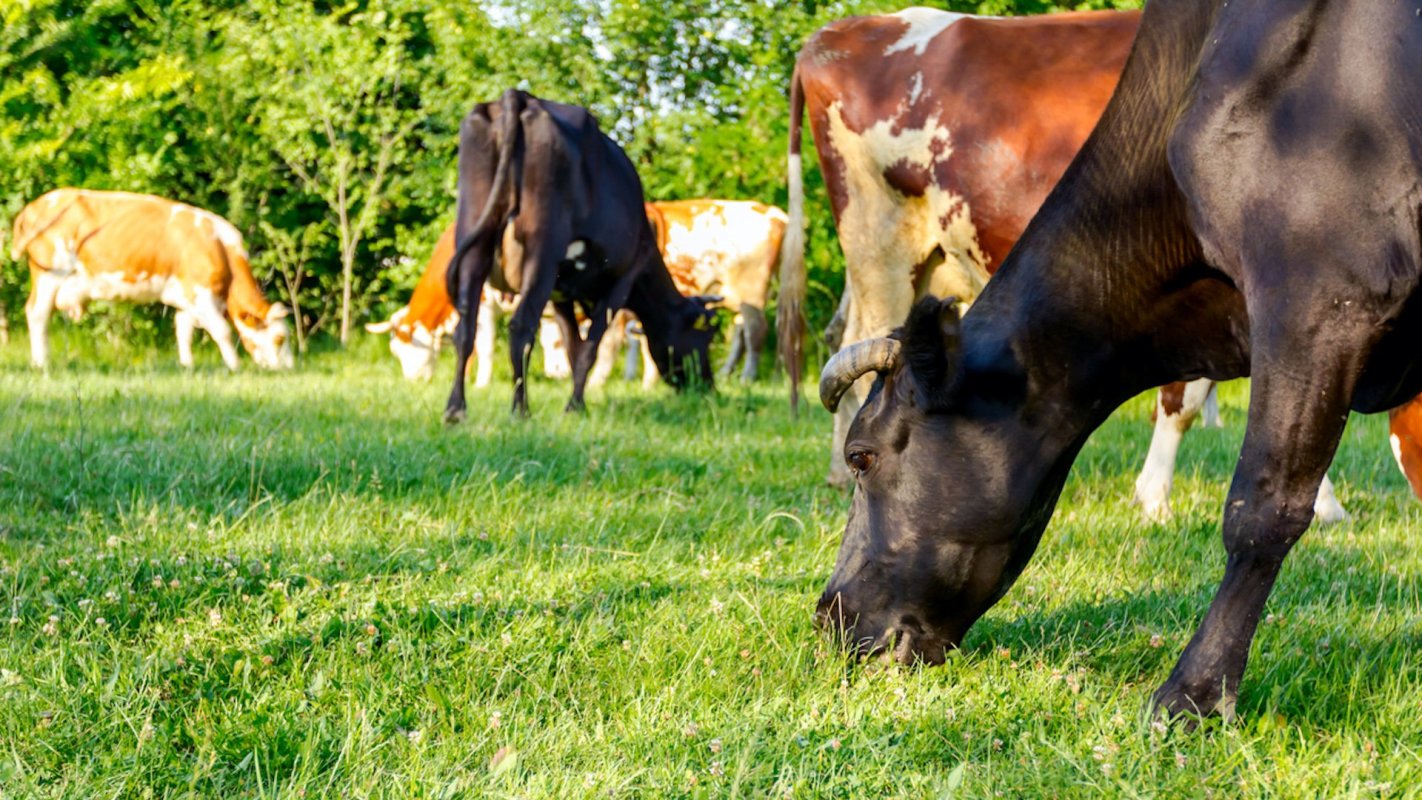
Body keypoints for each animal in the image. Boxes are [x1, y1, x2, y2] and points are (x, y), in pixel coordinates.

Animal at [10, 188, 294, 372]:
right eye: (280, 338)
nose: (289, 367)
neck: (220, 248)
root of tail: (34, 206)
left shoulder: (186, 296)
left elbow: (183, 329)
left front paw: (187, 365)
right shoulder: (200, 292)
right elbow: (222, 330)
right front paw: (235, 366)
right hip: (49, 273)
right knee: (37, 313)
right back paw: (41, 362)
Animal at [443, 89, 716, 423]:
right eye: (704, 337)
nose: (708, 385)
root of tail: (520, 96)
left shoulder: (561, 292)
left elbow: (573, 346)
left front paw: (577, 402)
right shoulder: (622, 280)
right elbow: (589, 348)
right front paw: (574, 406)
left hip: (474, 235)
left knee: (465, 328)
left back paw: (455, 410)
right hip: (541, 250)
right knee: (520, 327)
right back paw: (520, 410)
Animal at [813, 0, 1422, 721]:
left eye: (866, 457)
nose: (827, 615)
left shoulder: (1320, 287)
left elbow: (1260, 510)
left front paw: (1193, 697)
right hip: (880, 244)